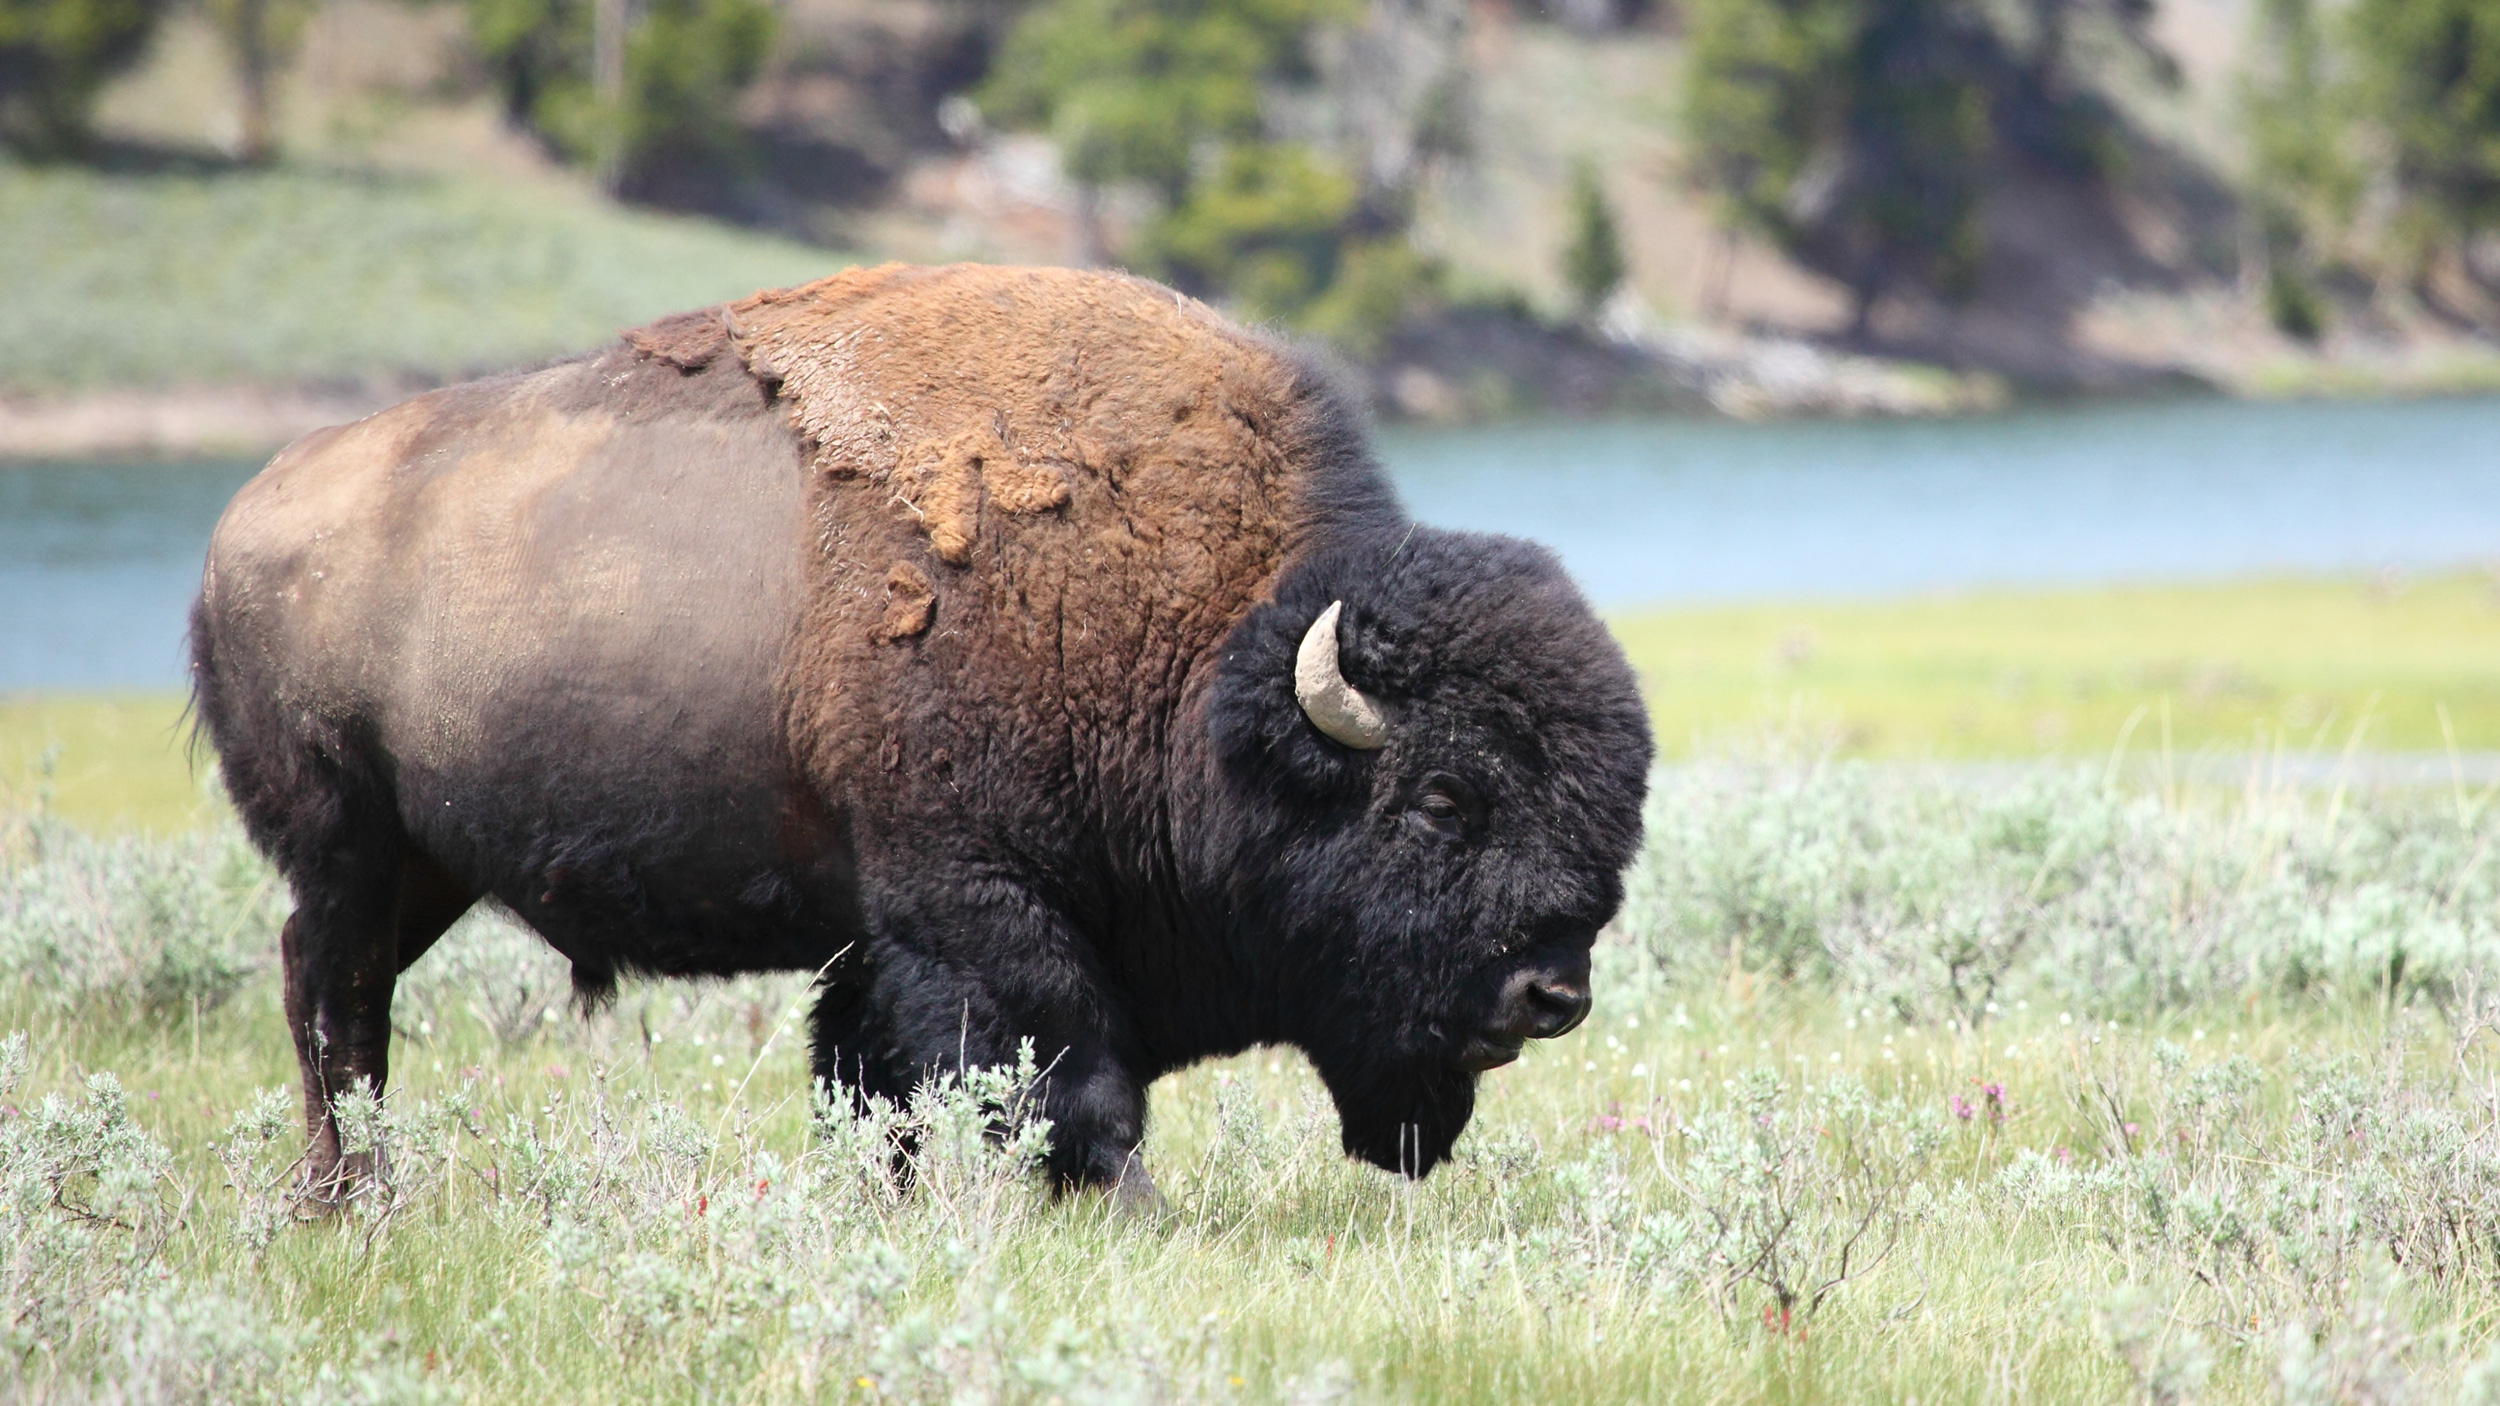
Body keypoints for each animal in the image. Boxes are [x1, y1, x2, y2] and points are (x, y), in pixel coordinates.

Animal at [190, 264, 1653, 1202]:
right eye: (1444, 799)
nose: (1552, 993)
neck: (1192, 651)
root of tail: (239, 522)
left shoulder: (874, 931)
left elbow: (868, 1081)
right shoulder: (976, 904)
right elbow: (1063, 1076)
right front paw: (1129, 1208)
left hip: (427, 862)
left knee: (344, 987)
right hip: (347, 844)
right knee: (332, 993)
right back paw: (348, 1190)